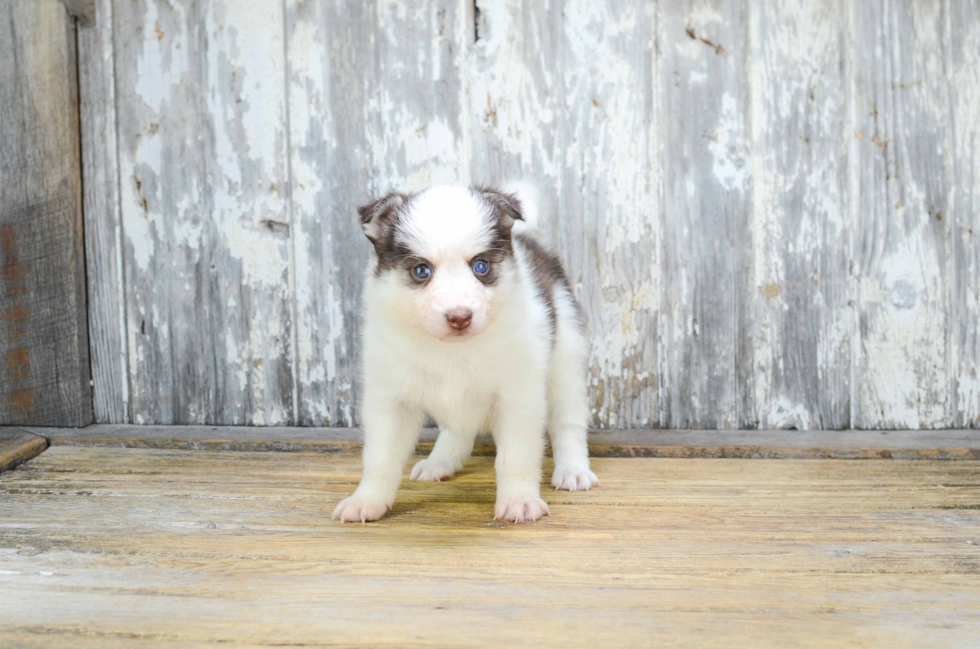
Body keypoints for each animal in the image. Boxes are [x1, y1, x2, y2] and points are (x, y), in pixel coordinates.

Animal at [334, 184, 596, 520]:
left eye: (480, 266)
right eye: (421, 270)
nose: (459, 317)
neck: (452, 351)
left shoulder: (518, 398)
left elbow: (517, 456)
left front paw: (519, 499)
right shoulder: (390, 399)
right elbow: (380, 458)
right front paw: (366, 500)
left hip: (566, 354)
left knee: (568, 420)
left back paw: (573, 470)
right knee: (457, 429)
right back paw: (441, 461)